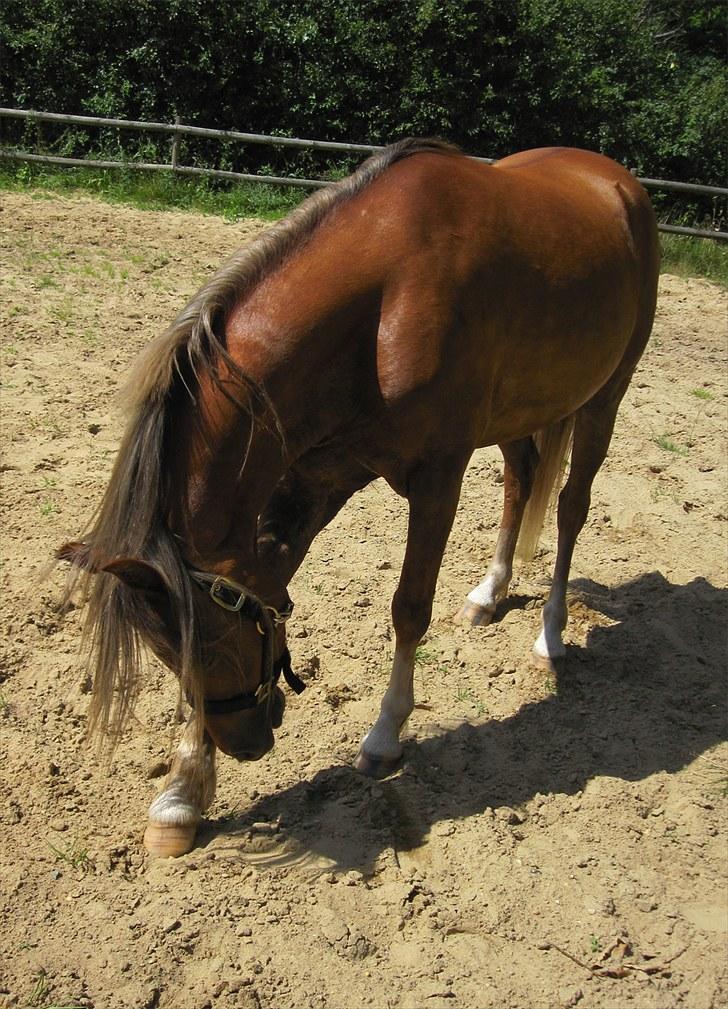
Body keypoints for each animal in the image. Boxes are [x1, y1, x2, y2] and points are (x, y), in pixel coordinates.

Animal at [56, 138, 657, 855]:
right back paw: (489, 594)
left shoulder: (437, 477)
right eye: (167, 652)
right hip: (519, 413)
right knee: (521, 482)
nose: (248, 744)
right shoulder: (318, 478)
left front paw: (385, 735)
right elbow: (272, 582)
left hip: (604, 399)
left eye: (213, 644)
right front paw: (183, 791)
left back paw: (552, 634)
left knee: (570, 510)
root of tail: (616, 182)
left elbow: (409, 609)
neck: (382, 305)